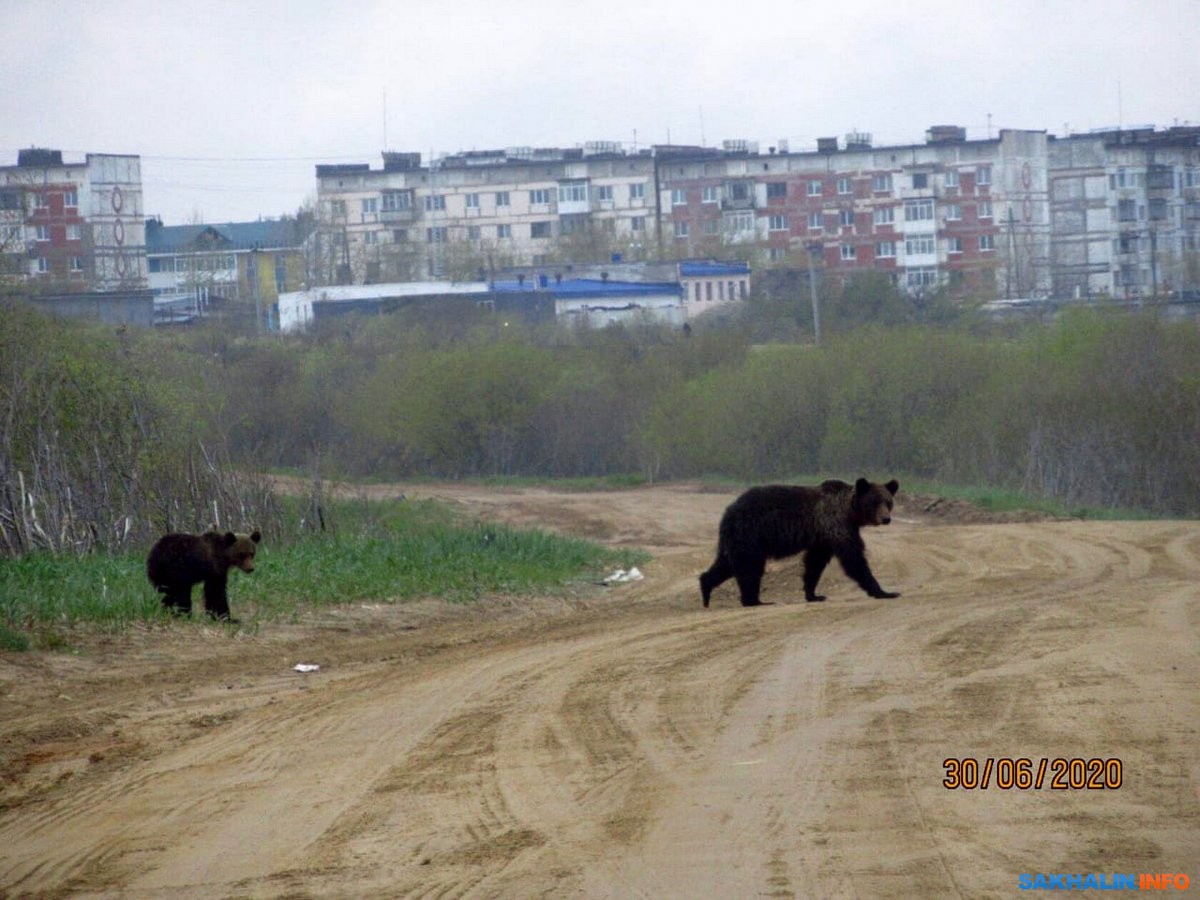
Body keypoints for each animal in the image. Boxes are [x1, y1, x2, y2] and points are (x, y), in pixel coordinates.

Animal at [696, 475, 902, 609]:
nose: (886, 519)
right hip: (750, 533)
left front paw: (814, 594)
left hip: (738, 538)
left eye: (888, 501)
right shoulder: (835, 524)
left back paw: (706, 589)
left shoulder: (822, 537)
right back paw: (754, 600)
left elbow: (814, 563)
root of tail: (728, 511)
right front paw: (885, 592)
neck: (849, 512)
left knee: (726, 563)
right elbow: (853, 558)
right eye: (874, 501)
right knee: (749, 567)